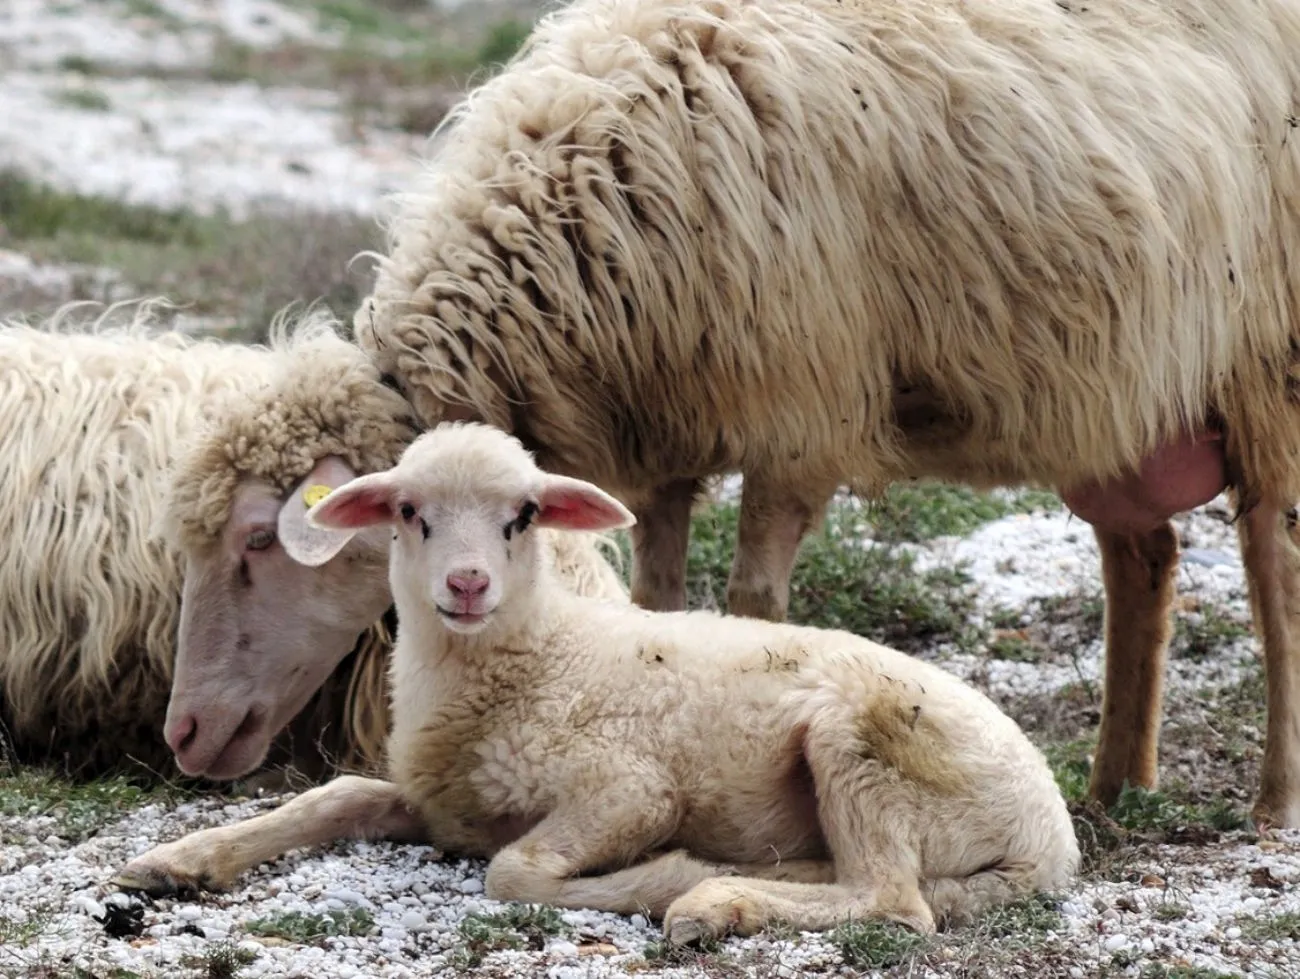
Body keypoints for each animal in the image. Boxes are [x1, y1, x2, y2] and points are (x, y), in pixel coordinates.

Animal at [115, 420, 1079, 943]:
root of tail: (1053, 832)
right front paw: (179, 860)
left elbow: (513, 872)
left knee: (895, 899)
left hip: (866, 740)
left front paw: (664, 874)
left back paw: (716, 899)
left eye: (524, 515)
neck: (540, 652)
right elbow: (338, 793)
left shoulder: (628, 787)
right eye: (408, 512)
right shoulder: (440, 797)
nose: (468, 584)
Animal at [352, 0, 1300, 828]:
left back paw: (1274, 800)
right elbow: (659, 603)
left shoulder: (798, 425)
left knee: (1276, 567)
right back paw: (1114, 789)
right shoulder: (665, 439)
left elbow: (752, 604)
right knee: (1146, 555)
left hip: (1267, 359)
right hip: (1114, 397)